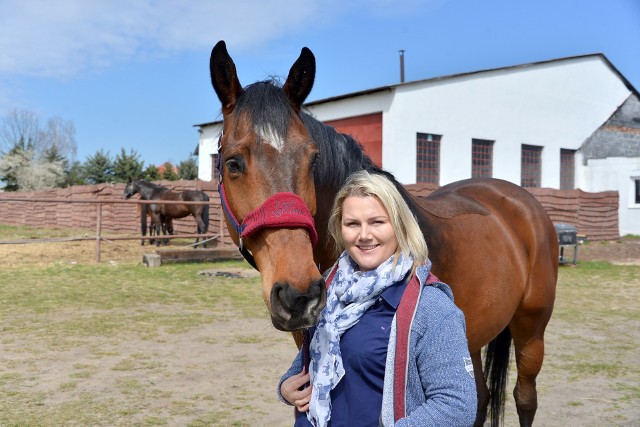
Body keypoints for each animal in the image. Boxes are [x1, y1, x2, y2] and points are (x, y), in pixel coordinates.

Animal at [209, 41, 556, 427]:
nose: (299, 295)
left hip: (531, 330)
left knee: (524, 397)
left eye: (313, 160)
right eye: (232, 162)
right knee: (479, 399)